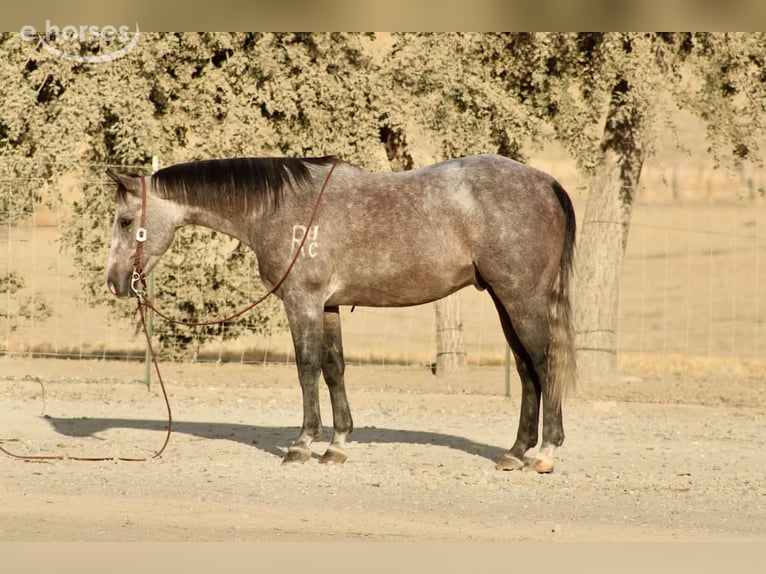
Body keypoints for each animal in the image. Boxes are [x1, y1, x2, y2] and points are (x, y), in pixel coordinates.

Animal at [105, 154, 576, 472]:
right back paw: (515, 452)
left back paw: (546, 452)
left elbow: (307, 368)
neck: (281, 208)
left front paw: (302, 444)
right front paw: (337, 445)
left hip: (521, 298)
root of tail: (546, 182)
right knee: (525, 370)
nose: (114, 282)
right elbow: (334, 369)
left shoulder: (302, 302)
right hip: (504, 300)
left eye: (125, 221)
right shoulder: (327, 306)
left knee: (543, 363)